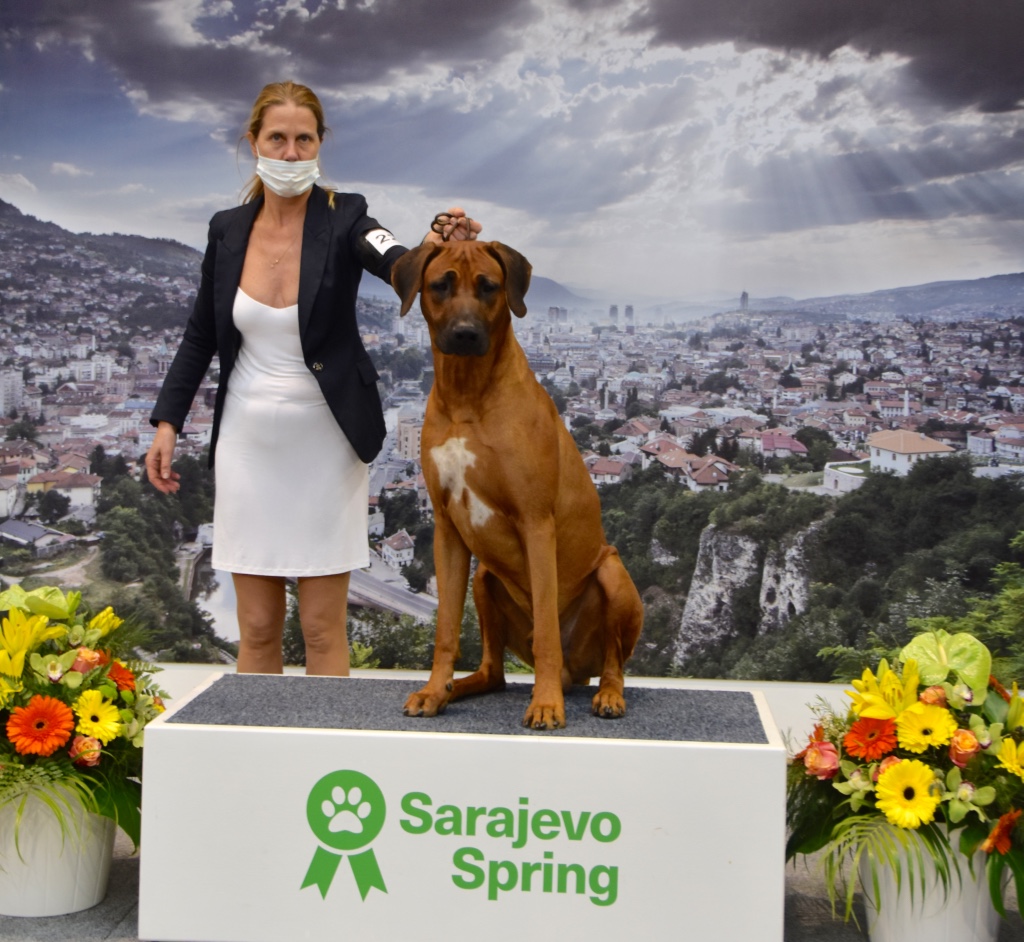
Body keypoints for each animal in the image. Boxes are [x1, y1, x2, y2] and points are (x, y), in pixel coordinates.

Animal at [391, 240, 638, 729]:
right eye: (441, 284)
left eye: (489, 286)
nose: (466, 334)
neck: (467, 394)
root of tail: (575, 672)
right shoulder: (447, 530)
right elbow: (446, 629)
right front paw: (434, 690)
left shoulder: (536, 523)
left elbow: (545, 631)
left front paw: (544, 704)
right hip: (485, 577)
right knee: (494, 670)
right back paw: (459, 688)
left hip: (612, 573)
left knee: (613, 659)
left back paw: (607, 694)